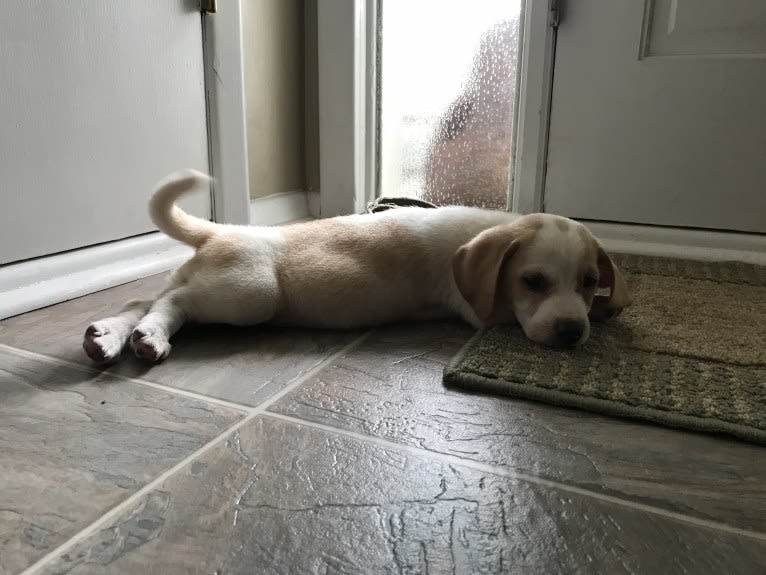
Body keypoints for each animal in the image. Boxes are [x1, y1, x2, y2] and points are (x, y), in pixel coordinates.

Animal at [84, 169, 632, 364]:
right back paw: (149, 338)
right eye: (532, 282)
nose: (571, 333)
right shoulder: (481, 310)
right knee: (171, 302)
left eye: (589, 282)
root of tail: (221, 231)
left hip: (214, 283)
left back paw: (109, 336)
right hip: (250, 293)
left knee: (144, 298)